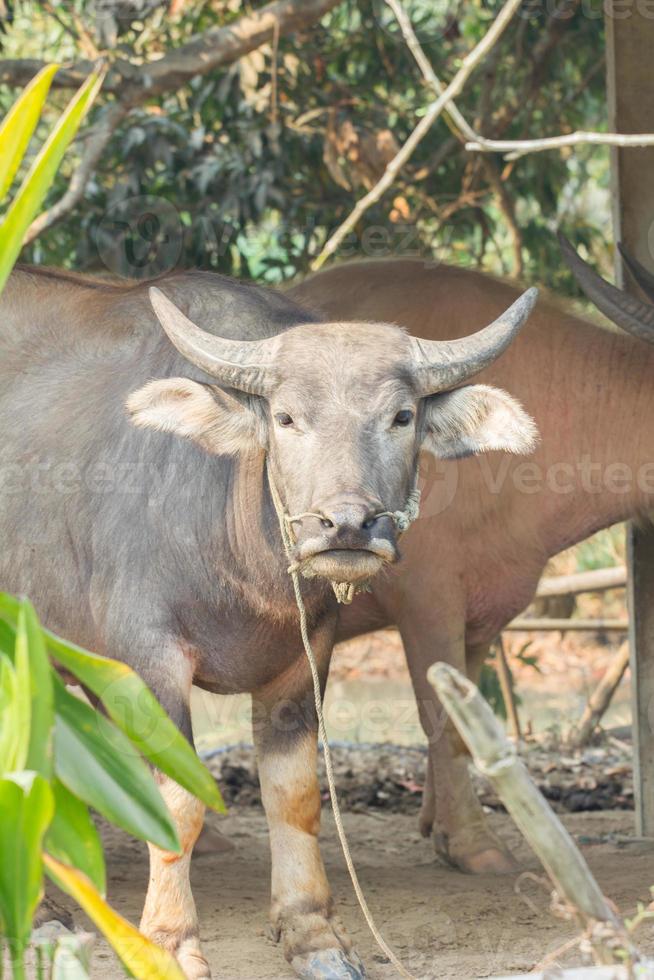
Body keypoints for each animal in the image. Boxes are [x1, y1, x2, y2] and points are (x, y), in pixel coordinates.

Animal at [0, 264, 540, 976]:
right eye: (286, 418)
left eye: (401, 416)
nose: (347, 525)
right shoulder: (148, 662)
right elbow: (175, 802)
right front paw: (168, 943)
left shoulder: (301, 663)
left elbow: (296, 797)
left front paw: (312, 934)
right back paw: (44, 918)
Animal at [290, 241, 654, 876]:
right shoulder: (427, 599)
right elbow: (440, 717)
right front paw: (473, 842)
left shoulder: (480, 608)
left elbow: (466, 721)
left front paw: (436, 824)